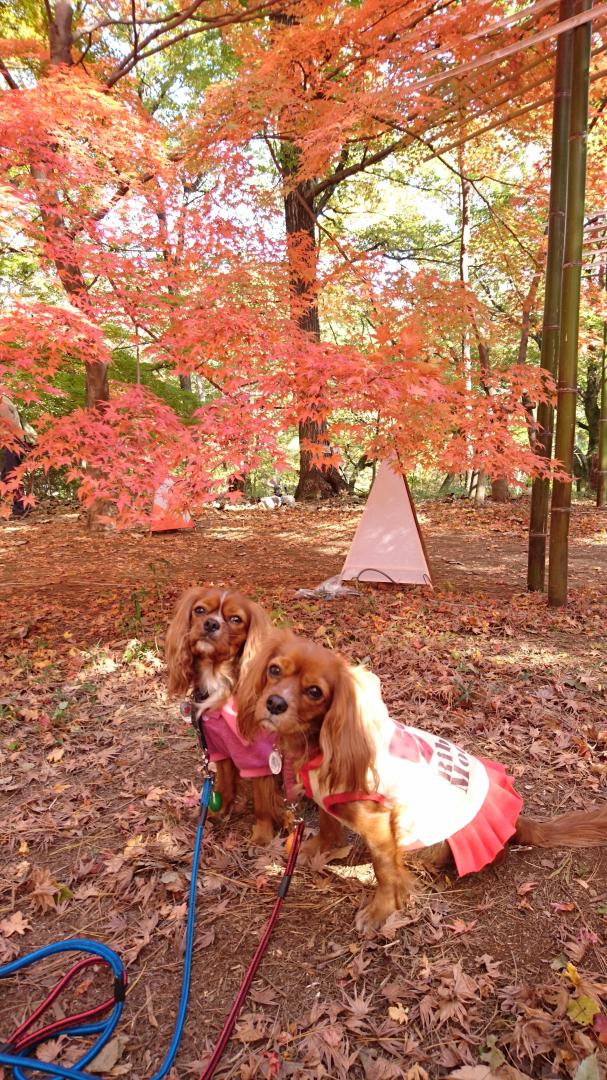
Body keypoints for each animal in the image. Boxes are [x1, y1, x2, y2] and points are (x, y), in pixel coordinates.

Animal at [163, 587, 280, 846]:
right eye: (199, 610)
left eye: (236, 619)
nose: (210, 623)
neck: (218, 679)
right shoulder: (219, 748)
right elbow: (224, 785)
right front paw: (217, 813)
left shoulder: (261, 759)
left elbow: (263, 802)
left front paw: (262, 836)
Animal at [237, 630, 607, 928]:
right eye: (274, 670)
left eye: (315, 691)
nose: (274, 703)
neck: (316, 744)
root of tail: (517, 821)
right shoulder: (330, 799)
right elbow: (329, 825)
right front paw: (316, 849)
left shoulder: (379, 822)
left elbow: (385, 871)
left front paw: (381, 911)